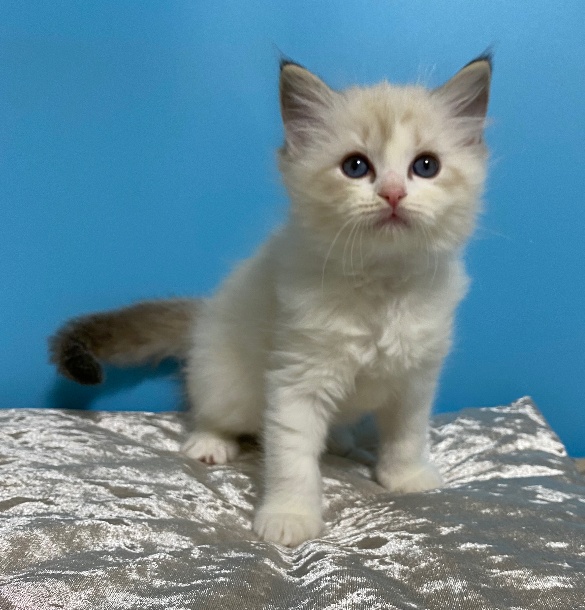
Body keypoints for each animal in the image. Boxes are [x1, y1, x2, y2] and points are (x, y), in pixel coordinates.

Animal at [50, 55, 492, 546]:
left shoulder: (415, 379)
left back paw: (340, 441)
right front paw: (290, 517)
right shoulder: (296, 378)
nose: (393, 193)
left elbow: (407, 434)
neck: (381, 284)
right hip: (227, 383)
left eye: (426, 166)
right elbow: (292, 460)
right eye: (356, 167)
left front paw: (406, 477)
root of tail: (205, 313)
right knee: (211, 410)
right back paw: (209, 443)